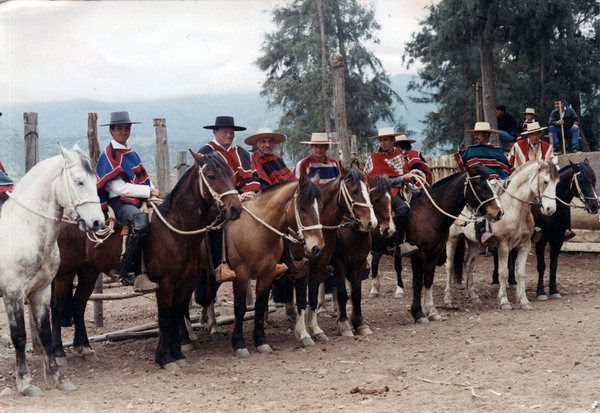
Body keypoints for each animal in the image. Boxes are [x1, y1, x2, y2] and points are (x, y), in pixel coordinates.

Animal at [0, 146, 103, 396]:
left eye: (94, 180)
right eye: (79, 181)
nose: (97, 222)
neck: (23, 227)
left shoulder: (42, 290)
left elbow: (45, 333)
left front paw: (57, 378)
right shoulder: (13, 292)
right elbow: (19, 336)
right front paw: (26, 383)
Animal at [51, 150, 243, 368]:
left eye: (231, 174)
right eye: (211, 176)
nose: (236, 208)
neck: (175, 229)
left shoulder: (184, 282)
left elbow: (176, 314)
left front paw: (178, 354)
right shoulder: (165, 283)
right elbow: (165, 318)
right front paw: (165, 358)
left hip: (88, 272)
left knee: (79, 304)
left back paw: (84, 348)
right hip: (64, 273)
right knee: (57, 307)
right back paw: (58, 353)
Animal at [446, 159, 556, 310]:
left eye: (557, 182)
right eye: (545, 181)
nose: (550, 209)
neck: (515, 208)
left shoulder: (525, 245)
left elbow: (521, 273)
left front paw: (524, 301)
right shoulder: (503, 246)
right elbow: (503, 272)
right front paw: (504, 301)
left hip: (473, 242)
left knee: (468, 264)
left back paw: (473, 296)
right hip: (452, 238)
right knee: (450, 266)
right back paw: (448, 300)